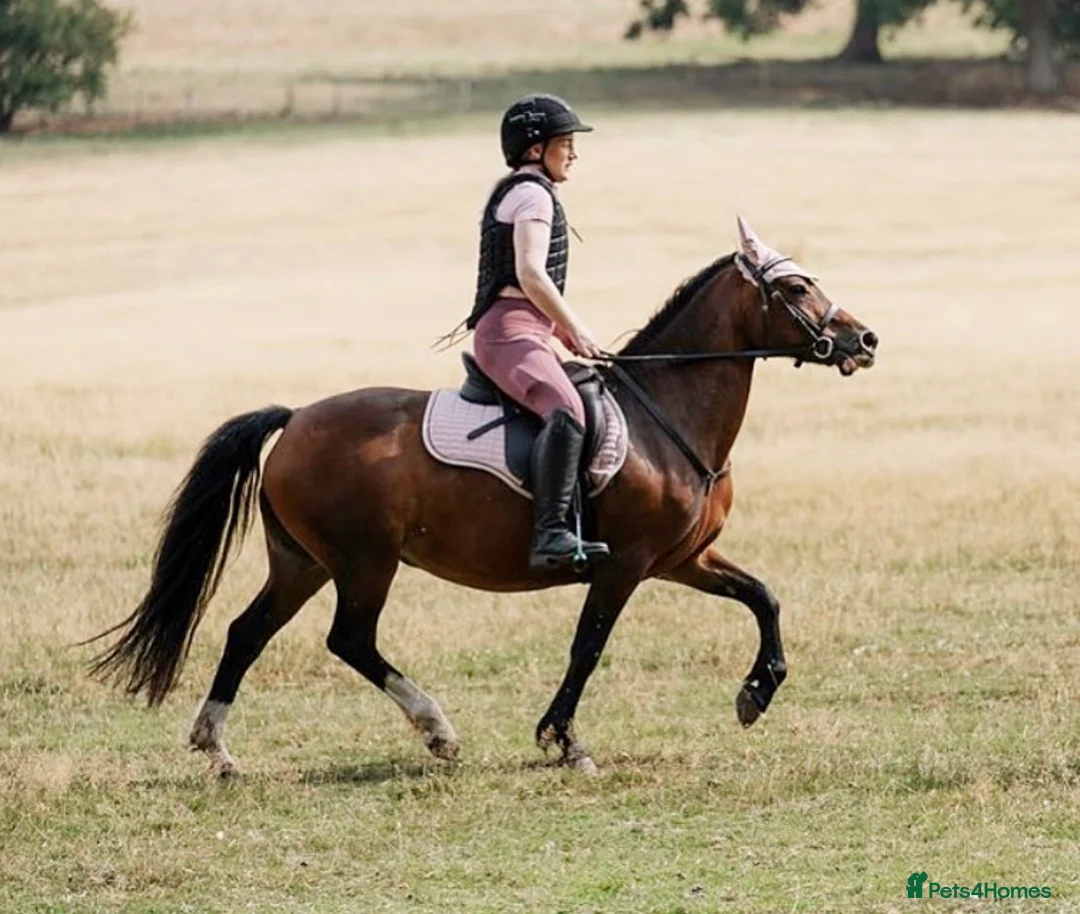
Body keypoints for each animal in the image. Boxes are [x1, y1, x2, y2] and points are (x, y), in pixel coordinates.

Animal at [88, 218, 878, 775]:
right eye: (797, 289)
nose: (864, 339)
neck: (668, 411)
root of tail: (297, 418)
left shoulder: (682, 558)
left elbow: (764, 597)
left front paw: (756, 693)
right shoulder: (625, 566)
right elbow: (588, 646)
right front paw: (563, 741)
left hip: (303, 562)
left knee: (247, 632)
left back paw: (217, 748)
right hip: (364, 561)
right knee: (350, 639)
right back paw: (437, 729)